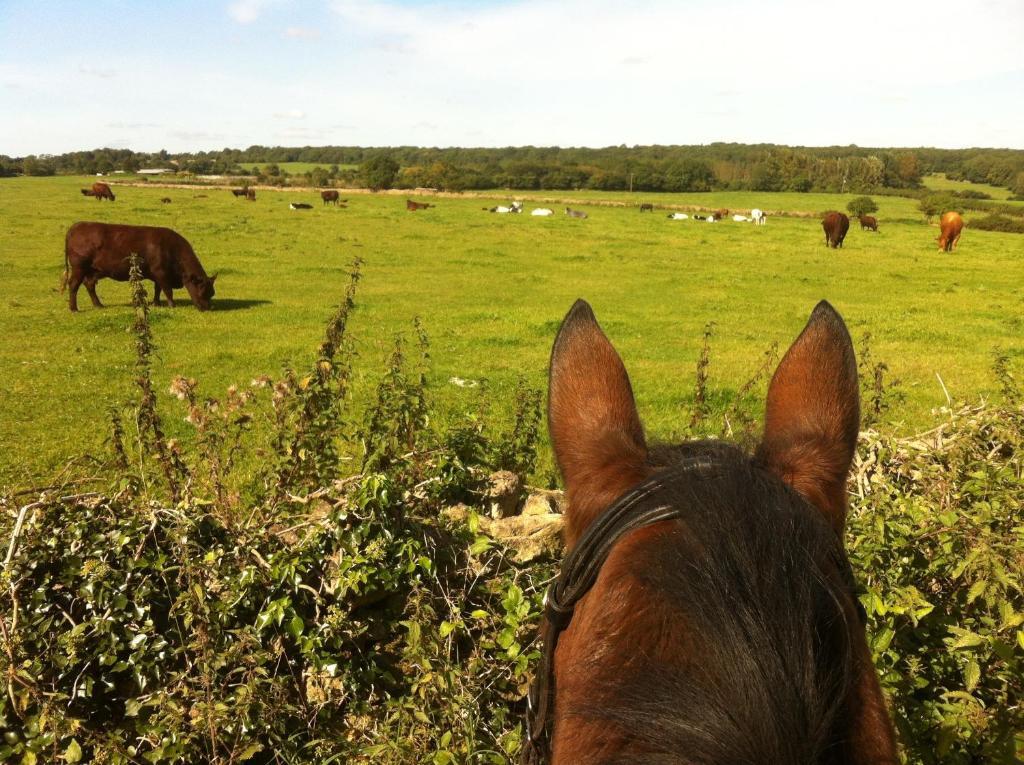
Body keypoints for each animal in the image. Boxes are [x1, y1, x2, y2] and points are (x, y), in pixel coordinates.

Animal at [60, 223, 217, 313]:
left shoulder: (157, 275)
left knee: (89, 284)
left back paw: (98, 305)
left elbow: (158, 289)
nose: (207, 308)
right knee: (74, 285)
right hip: (79, 267)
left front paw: (157, 303)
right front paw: (172, 305)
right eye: (202, 291)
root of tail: (77, 226)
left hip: (92, 270)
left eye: (211, 294)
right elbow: (167, 290)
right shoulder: (161, 273)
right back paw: (74, 309)